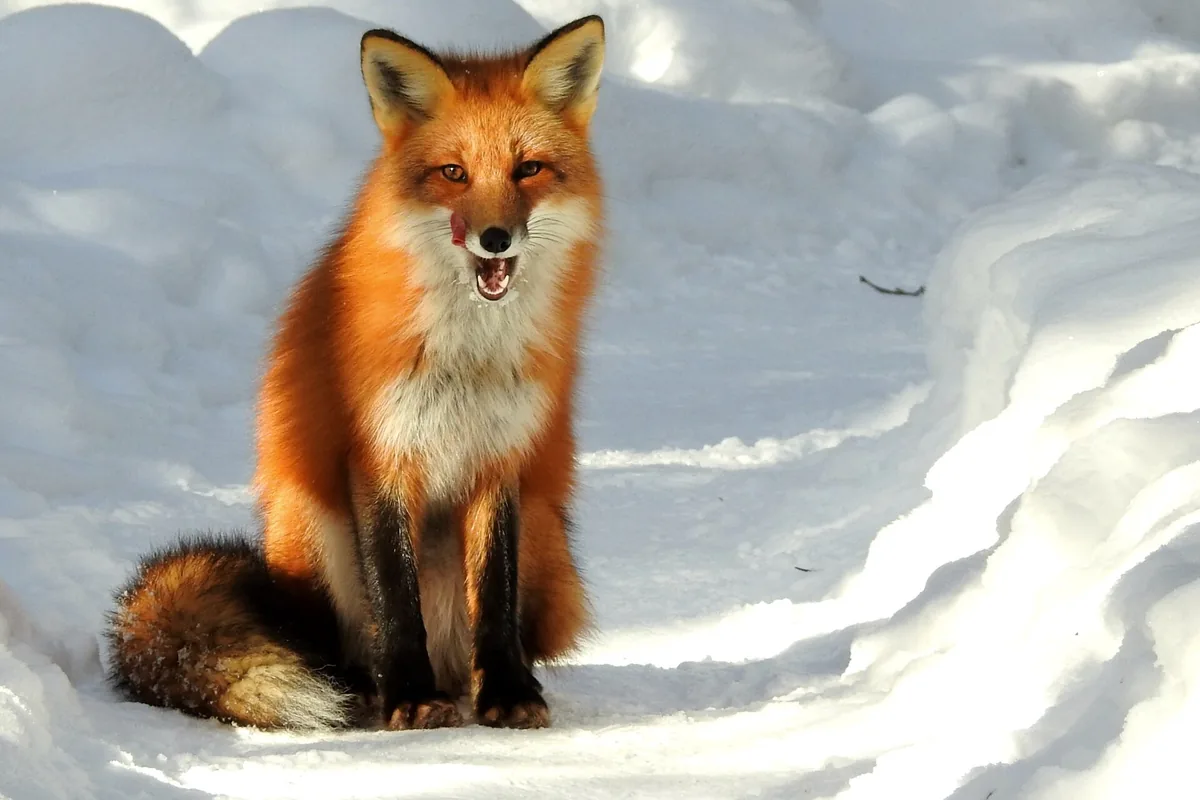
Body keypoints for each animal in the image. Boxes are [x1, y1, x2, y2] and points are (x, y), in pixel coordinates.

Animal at [105, 15, 606, 731]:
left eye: (529, 169)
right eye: (453, 173)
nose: (495, 238)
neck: (466, 357)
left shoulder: (499, 458)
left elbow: (495, 596)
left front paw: (508, 692)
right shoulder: (379, 452)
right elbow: (395, 596)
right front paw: (410, 696)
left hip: (545, 534)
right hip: (313, 525)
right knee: (337, 644)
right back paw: (363, 688)